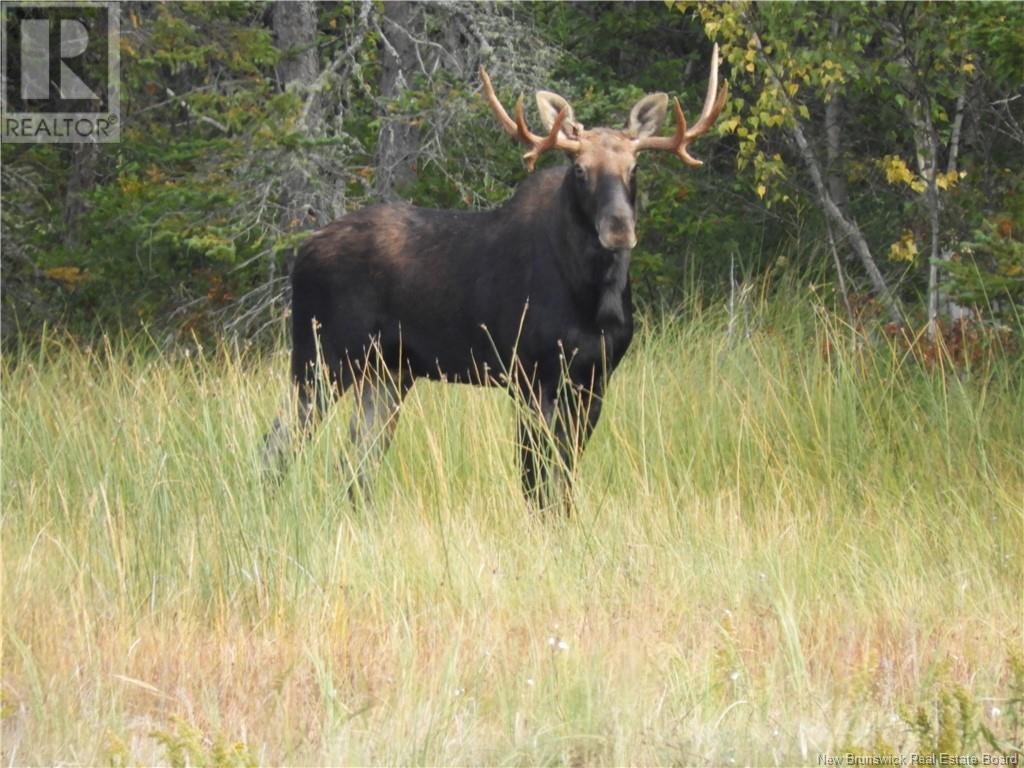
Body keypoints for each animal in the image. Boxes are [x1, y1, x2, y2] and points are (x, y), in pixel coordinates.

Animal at [264, 46, 729, 505]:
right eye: (579, 168)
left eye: (634, 167)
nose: (618, 227)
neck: (594, 297)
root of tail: (301, 255)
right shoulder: (529, 376)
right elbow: (535, 480)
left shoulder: (594, 379)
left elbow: (564, 477)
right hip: (320, 356)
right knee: (280, 443)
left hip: (387, 372)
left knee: (355, 462)